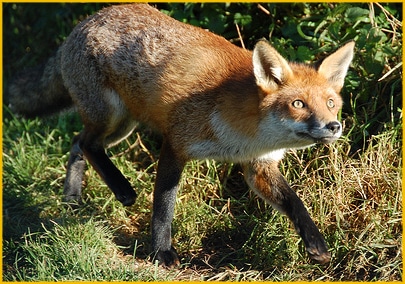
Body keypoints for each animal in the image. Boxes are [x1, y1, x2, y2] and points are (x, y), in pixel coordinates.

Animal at [7, 3, 354, 268]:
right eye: (298, 104)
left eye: (330, 103)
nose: (333, 126)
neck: (247, 135)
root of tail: (85, 22)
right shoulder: (176, 144)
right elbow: (164, 206)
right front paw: (162, 252)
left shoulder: (260, 167)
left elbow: (296, 203)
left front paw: (316, 244)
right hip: (111, 116)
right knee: (87, 144)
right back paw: (121, 190)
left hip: (121, 127)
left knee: (77, 143)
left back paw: (72, 198)